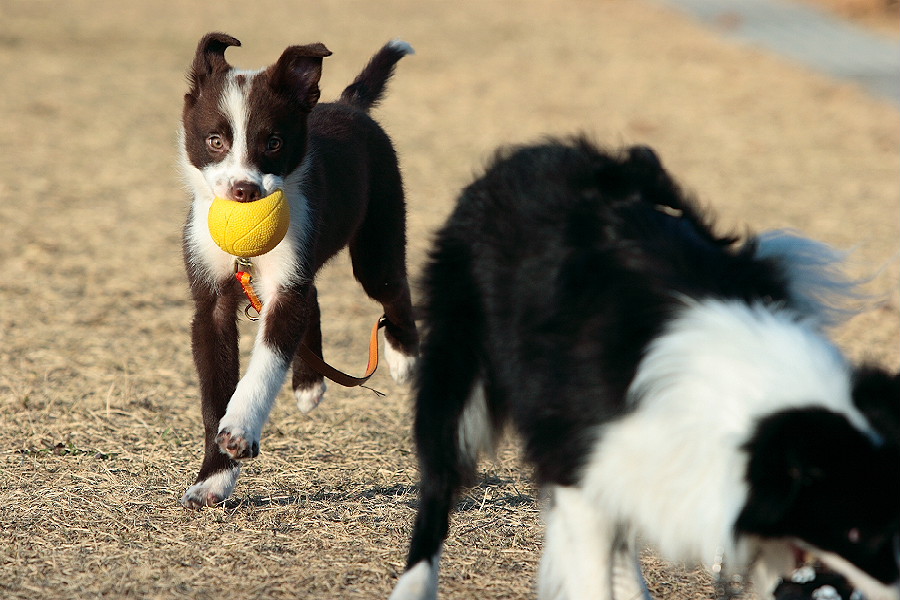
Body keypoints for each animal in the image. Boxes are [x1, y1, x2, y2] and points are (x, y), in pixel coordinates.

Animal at [178, 33, 419, 508]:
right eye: (215, 140)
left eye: (273, 142)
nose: (244, 191)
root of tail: (349, 104)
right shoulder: (211, 302)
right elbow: (214, 395)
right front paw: (214, 479)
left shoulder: (286, 287)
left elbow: (267, 363)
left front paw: (239, 432)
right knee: (316, 297)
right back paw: (310, 383)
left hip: (377, 244)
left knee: (394, 291)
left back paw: (403, 357)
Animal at [390, 139, 900, 600]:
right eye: (857, 533)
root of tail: (538, 152)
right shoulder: (583, 465)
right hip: (459, 367)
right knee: (438, 480)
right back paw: (413, 585)